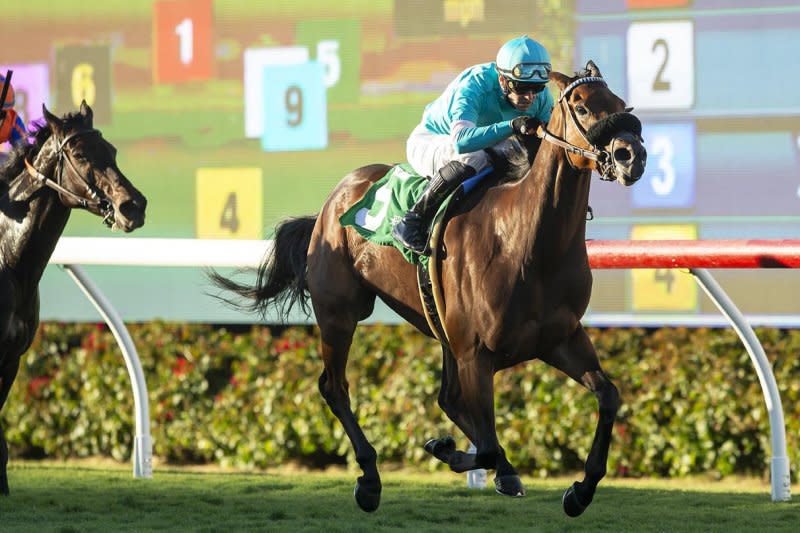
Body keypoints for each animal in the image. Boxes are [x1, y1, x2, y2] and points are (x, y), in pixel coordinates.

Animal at [216, 62, 648, 516]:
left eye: (620, 102)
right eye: (581, 106)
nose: (631, 155)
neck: (526, 241)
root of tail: (334, 199)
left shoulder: (559, 338)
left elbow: (608, 396)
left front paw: (579, 490)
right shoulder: (476, 354)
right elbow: (487, 444)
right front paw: (446, 449)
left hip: (441, 332)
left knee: (448, 399)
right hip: (340, 314)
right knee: (335, 387)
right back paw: (369, 479)